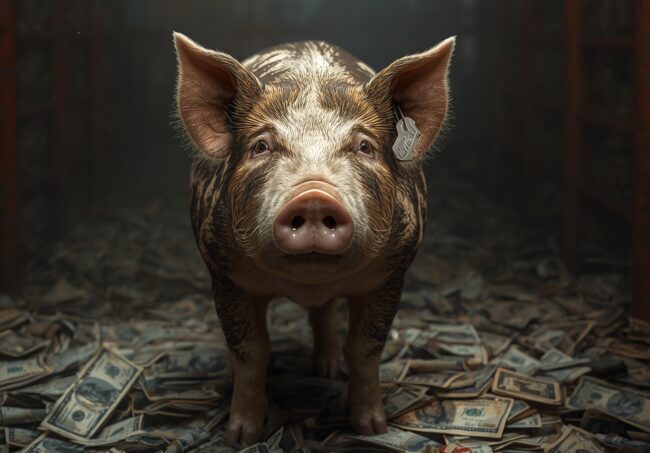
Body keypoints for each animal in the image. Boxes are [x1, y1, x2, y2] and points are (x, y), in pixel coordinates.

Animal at [173, 33, 455, 446]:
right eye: (261, 145)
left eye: (365, 146)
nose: (314, 196)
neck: (308, 281)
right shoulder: (224, 273)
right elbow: (251, 353)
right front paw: (241, 437)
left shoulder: (391, 275)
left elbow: (365, 350)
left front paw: (373, 429)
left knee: (324, 312)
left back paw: (325, 370)